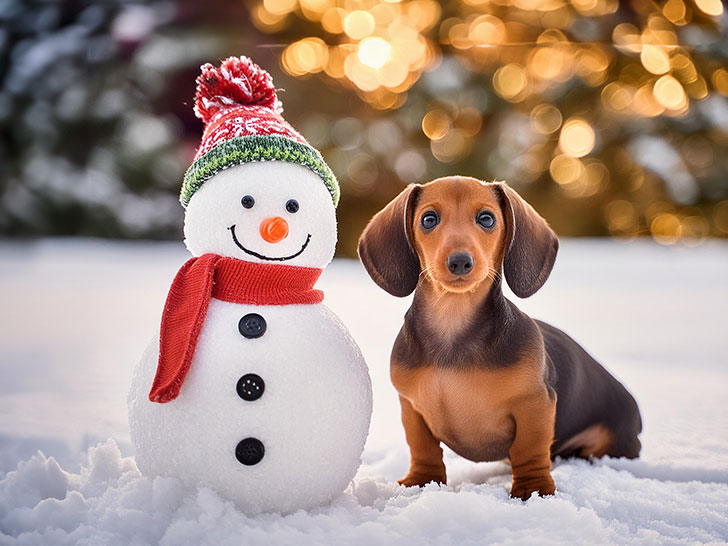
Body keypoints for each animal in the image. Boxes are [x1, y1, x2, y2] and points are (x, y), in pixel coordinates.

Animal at [360, 175, 644, 498]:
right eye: (429, 219)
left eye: (486, 218)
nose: (460, 262)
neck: (452, 328)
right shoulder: (411, 407)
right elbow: (423, 447)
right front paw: (421, 481)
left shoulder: (535, 403)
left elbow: (529, 449)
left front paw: (532, 490)